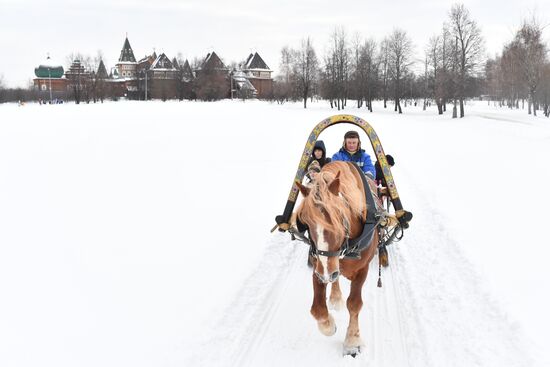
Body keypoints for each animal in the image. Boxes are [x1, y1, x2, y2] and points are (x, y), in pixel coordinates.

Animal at [296, 160, 382, 356]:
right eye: (305, 221)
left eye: (338, 216)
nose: (326, 274)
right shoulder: (318, 264)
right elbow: (317, 309)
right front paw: (329, 325)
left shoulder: (362, 269)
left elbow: (355, 304)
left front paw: (352, 342)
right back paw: (335, 297)